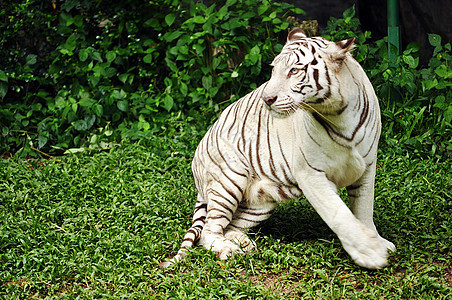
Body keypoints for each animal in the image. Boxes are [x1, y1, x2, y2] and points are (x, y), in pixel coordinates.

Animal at [162, 28, 396, 270]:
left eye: (294, 70)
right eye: (274, 69)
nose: (267, 98)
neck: (338, 114)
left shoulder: (367, 167)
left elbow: (363, 209)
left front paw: (377, 242)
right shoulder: (311, 174)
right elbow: (338, 213)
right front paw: (370, 253)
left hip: (261, 201)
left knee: (231, 226)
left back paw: (244, 244)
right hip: (228, 180)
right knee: (209, 230)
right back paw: (228, 250)